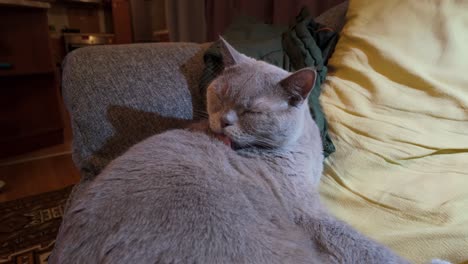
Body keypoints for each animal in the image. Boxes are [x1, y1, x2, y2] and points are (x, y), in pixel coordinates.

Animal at [49, 37, 440, 264]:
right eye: (219, 95)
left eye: (251, 111)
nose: (222, 122)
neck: (301, 147)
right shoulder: (307, 212)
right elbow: (364, 246)